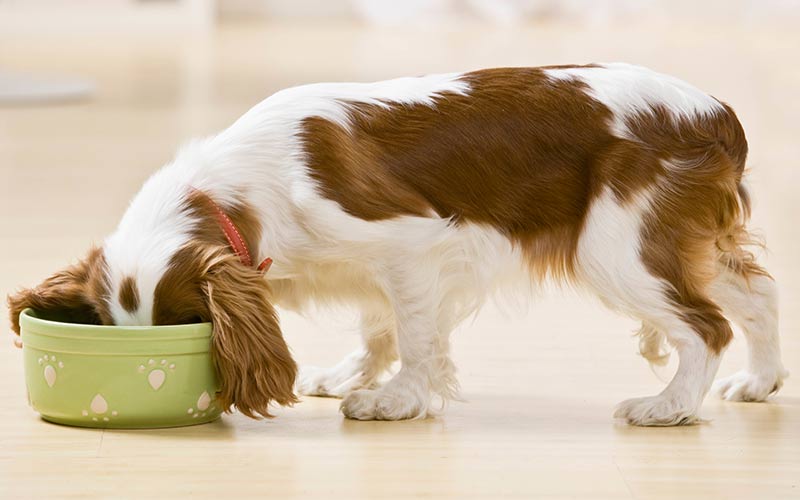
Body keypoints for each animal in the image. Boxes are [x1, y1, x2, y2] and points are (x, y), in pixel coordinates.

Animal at [7, 63, 788, 426]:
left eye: (188, 325)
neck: (236, 190)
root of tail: (716, 113)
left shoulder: (409, 245)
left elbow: (414, 335)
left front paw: (395, 400)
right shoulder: (373, 270)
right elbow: (378, 325)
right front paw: (354, 374)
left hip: (617, 248)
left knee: (705, 326)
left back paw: (669, 407)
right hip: (679, 241)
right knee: (756, 294)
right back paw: (760, 381)